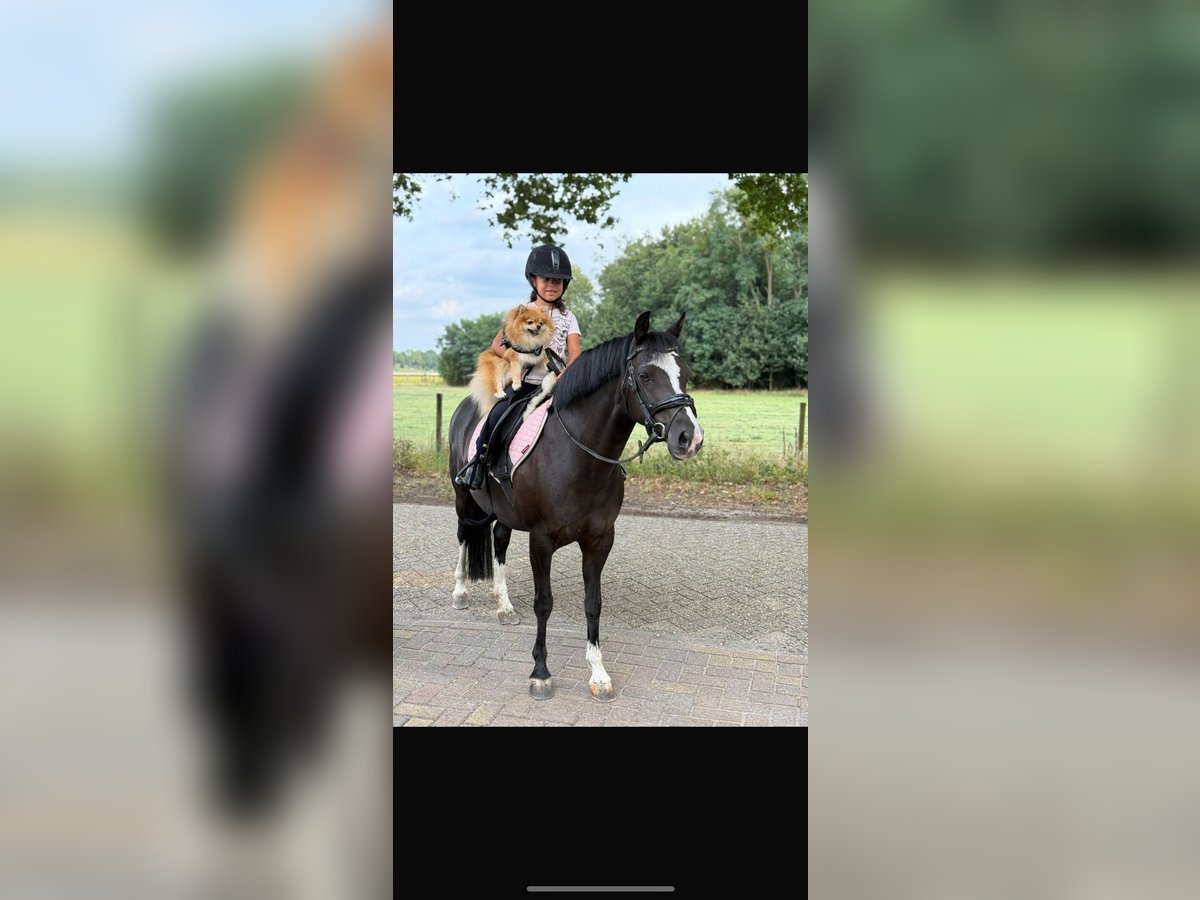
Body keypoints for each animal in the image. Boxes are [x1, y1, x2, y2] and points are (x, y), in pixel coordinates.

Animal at [447, 310, 705, 701]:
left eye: (685, 373)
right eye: (646, 374)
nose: (690, 439)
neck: (579, 456)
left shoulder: (599, 539)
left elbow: (593, 603)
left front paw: (598, 673)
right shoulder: (540, 540)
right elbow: (544, 603)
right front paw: (540, 673)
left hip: (503, 511)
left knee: (499, 541)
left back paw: (504, 606)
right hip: (463, 497)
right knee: (464, 534)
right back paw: (460, 592)